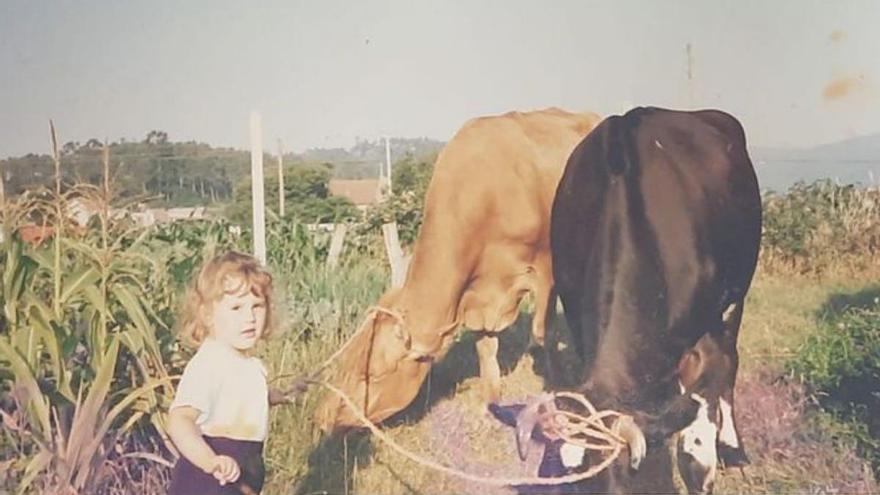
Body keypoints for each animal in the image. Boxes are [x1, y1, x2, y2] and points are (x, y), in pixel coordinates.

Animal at [318, 107, 604, 430]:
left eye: (372, 375)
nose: (322, 417)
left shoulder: (546, 267)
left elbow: (545, 332)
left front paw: (555, 393)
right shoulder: (479, 294)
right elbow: (486, 347)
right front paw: (489, 402)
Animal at [492, 106, 760, 494]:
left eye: (624, 483)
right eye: (571, 483)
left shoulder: (704, 333)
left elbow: (698, 426)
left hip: (736, 295)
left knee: (729, 363)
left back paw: (733, 448)